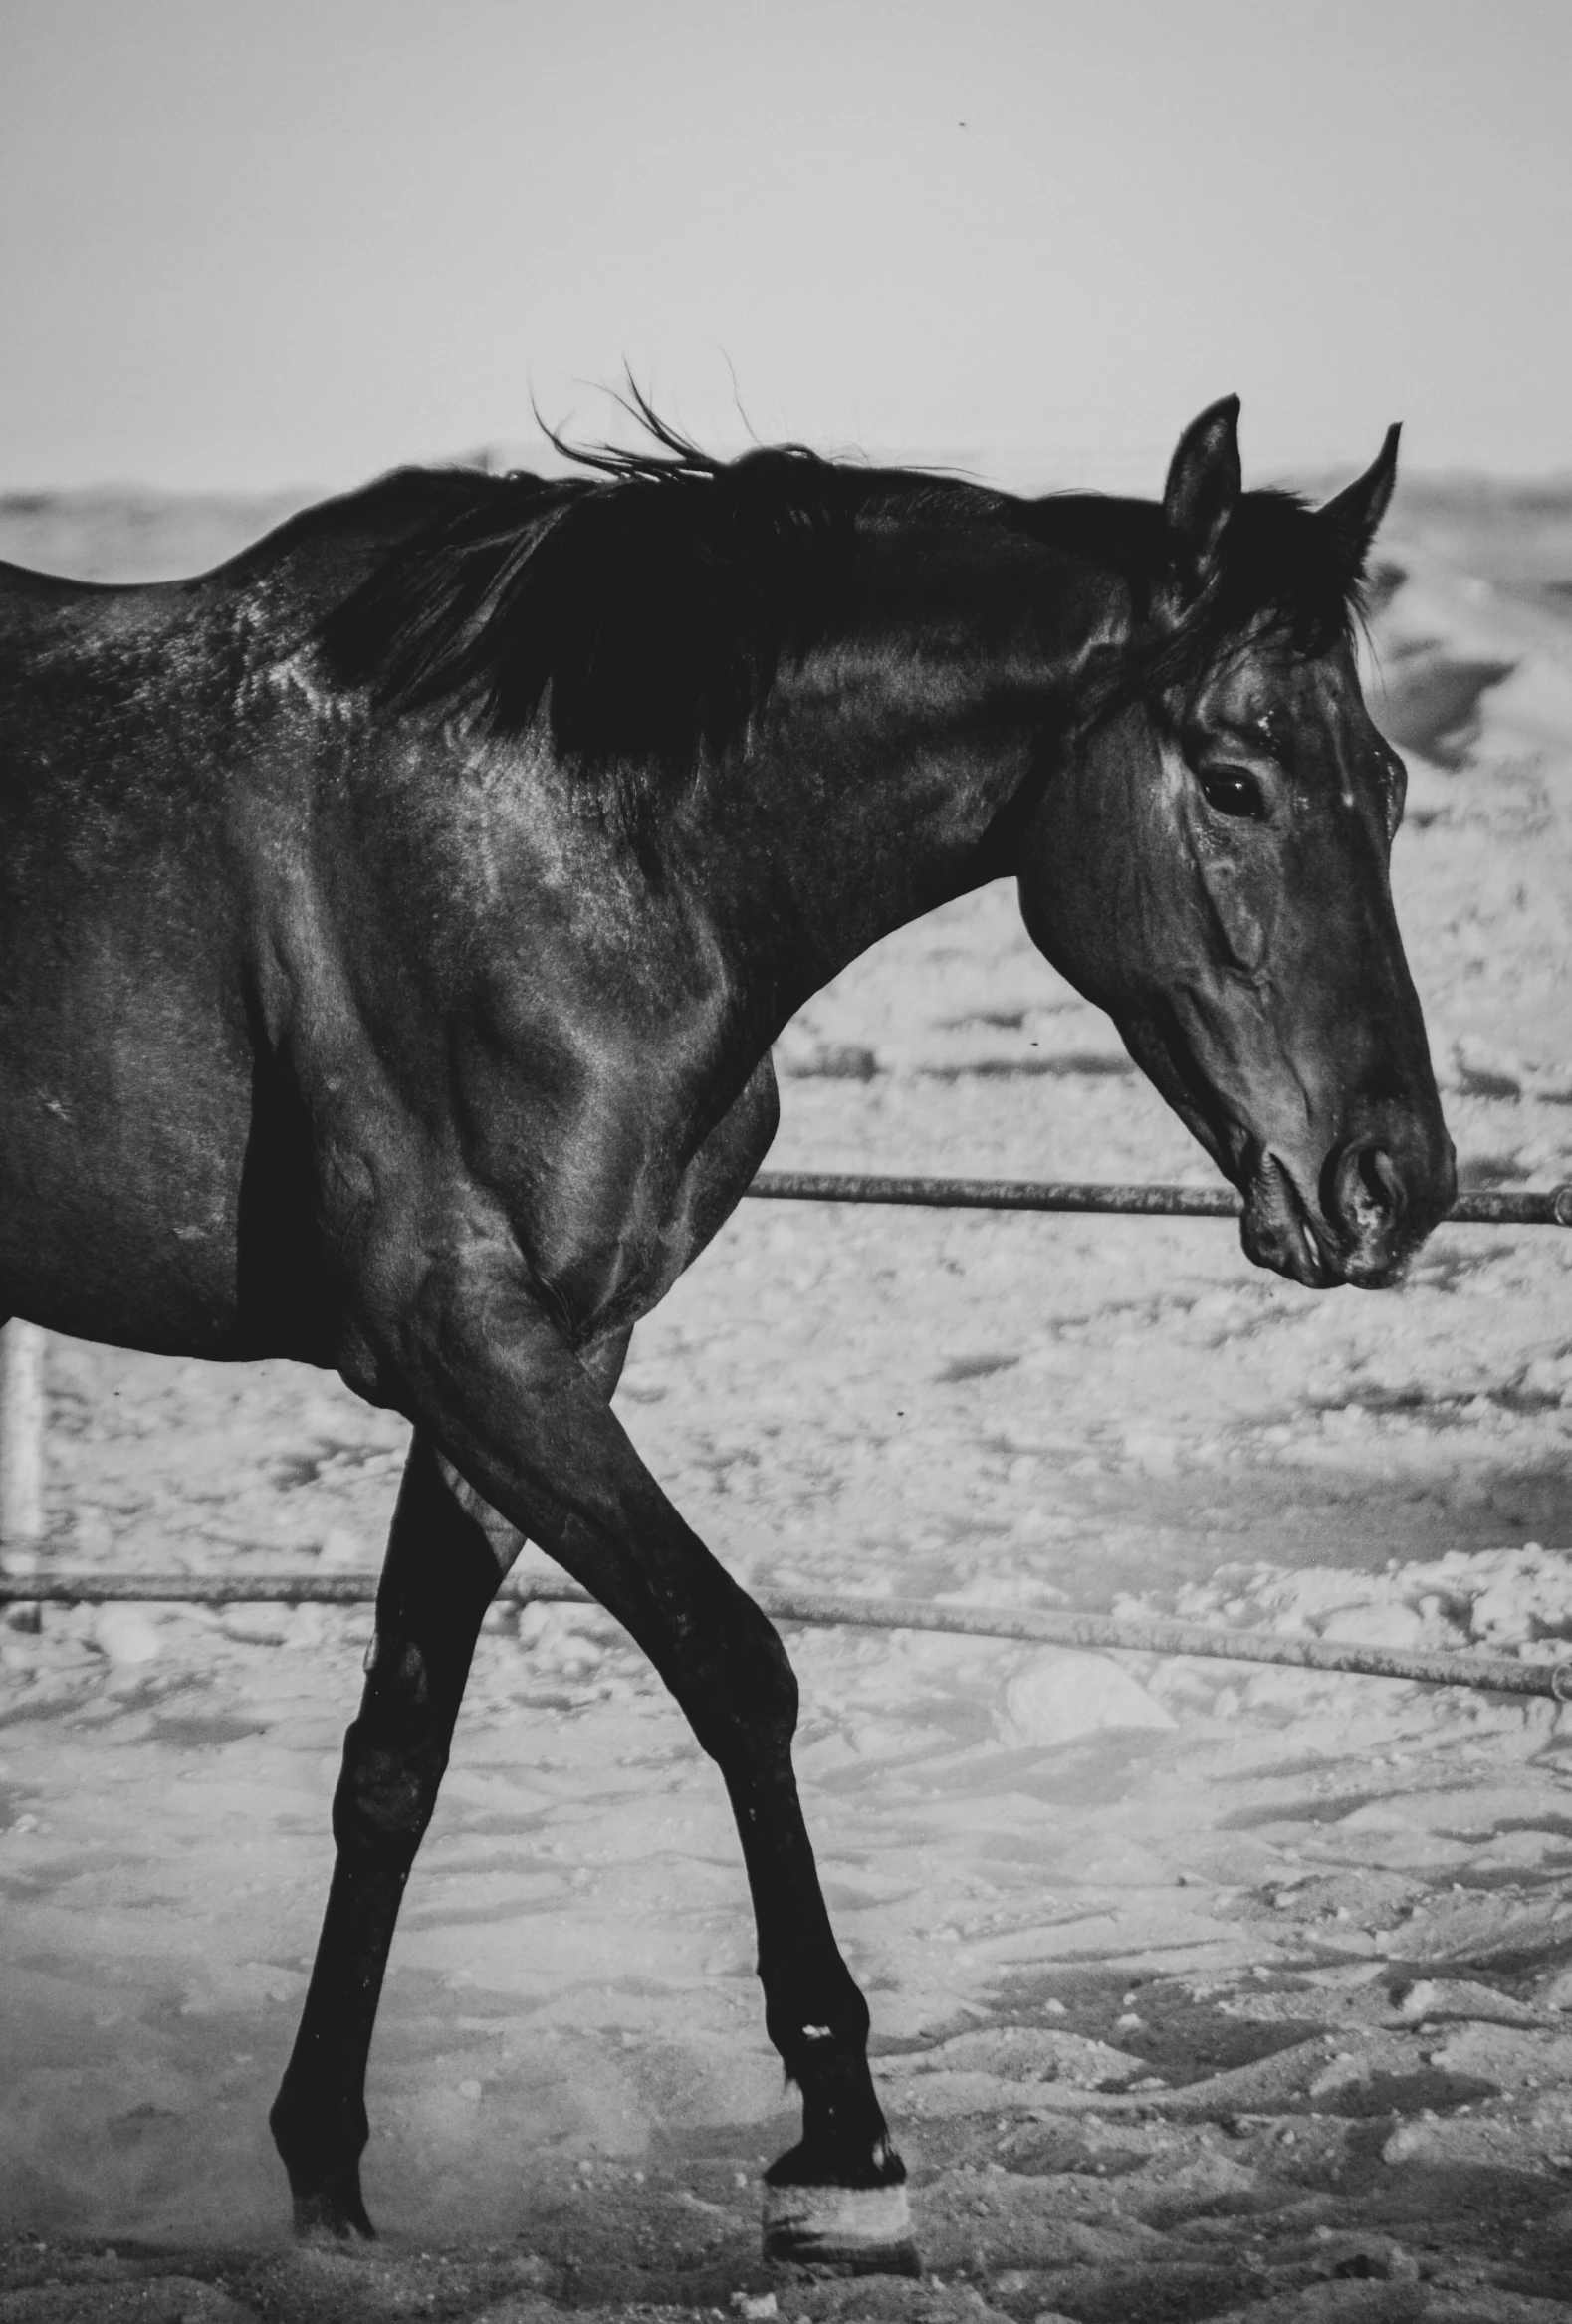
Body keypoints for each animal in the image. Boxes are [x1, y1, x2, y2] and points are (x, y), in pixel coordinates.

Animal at [0, 390, 1449, 2258]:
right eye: (1231, 776)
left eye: (1390, 784)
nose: (1395, 1182)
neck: (574, 848)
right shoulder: (461, 1342)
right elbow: (735, 1665)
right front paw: (841, 2136)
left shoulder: (538, 1360)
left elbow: (396, 1756)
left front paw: (324, 2177)